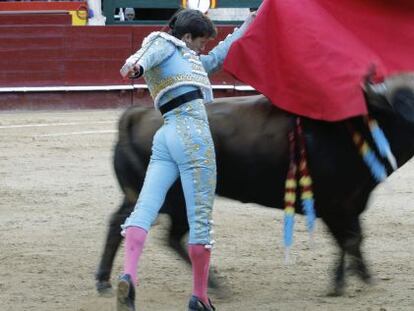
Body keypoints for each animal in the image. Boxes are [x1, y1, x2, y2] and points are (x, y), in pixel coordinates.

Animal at [95, 73, 414, 298]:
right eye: (404, 100)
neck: (358, 129)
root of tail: (137, 115)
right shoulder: (334, 205)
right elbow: (349, 239)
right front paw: (339, 284)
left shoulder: (351, 204)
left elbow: (356, 238)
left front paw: (364, 276)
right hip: (178, 198)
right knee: (170, 237)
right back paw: (216, 286)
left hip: (140, 195)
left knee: (120, 224)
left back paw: (103, 281)